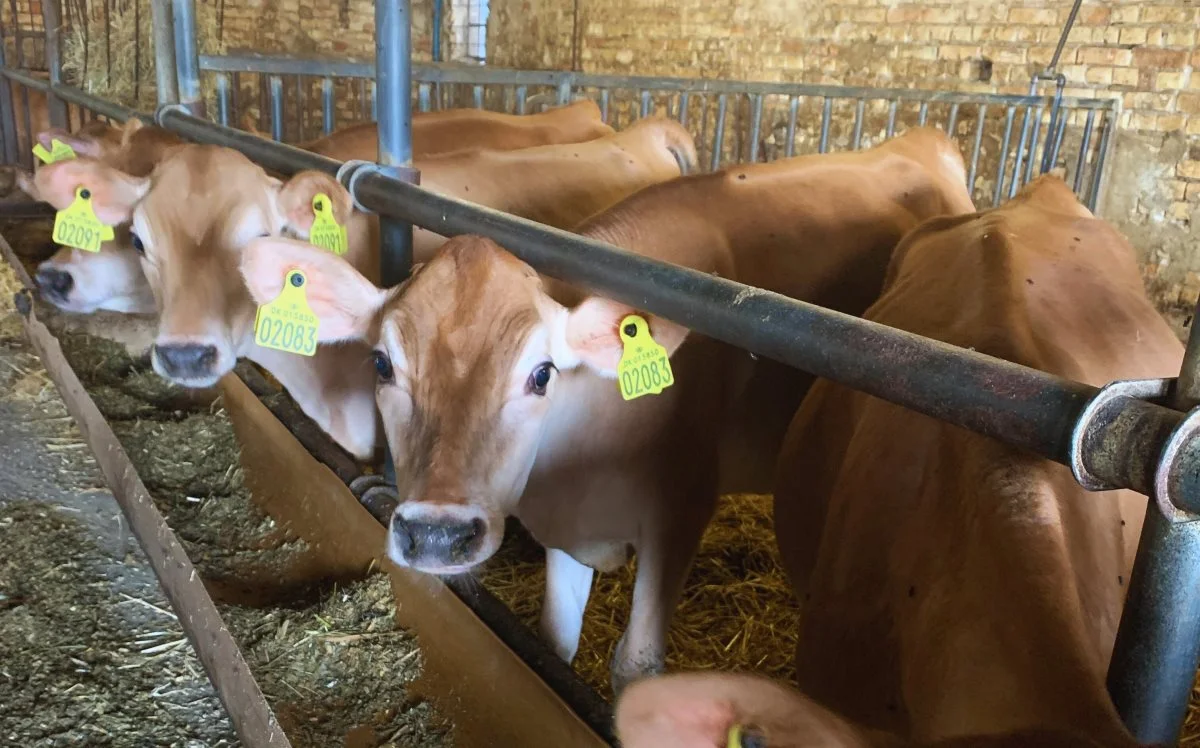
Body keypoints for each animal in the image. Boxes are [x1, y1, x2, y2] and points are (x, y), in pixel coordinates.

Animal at [231, 127, 974, 691]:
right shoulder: (565, 527)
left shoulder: (681, 512)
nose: (437, 536)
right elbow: (554, 646)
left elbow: (636, 667)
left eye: (541, 374)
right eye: (382, 364)